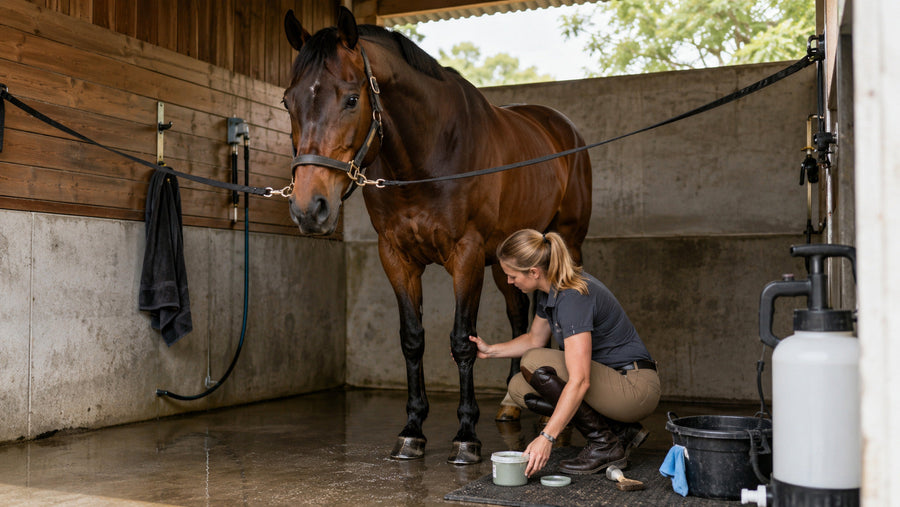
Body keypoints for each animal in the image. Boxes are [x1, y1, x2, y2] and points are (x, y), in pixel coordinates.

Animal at [282, 7, 592, 464]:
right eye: (288, 101)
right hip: (505, 262)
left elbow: (462, 341)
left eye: (352, 99)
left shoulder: (466, 255)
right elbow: (412, 340)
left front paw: (466, 435)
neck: (428, 154)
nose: (309, 208)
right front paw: (412, 430)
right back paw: (509, 403)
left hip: (567, 242)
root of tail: (562, 128)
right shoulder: (396, 257)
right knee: (519, 316)